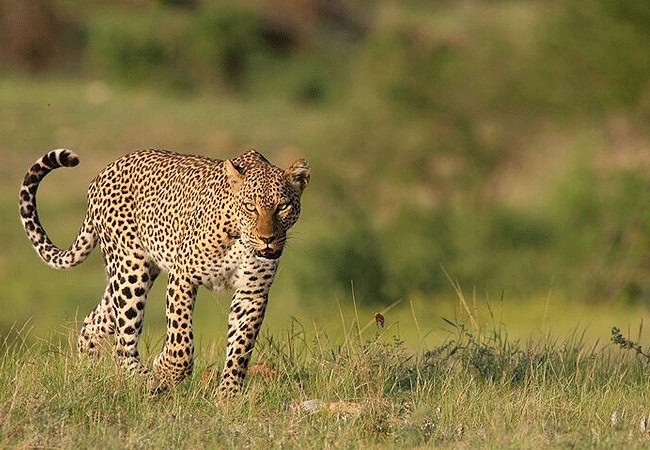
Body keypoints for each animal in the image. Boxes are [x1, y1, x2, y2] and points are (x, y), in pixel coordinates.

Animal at [18, 147, 310, 396]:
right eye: (250, 206)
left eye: (282, 206)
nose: (267, 239)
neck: (239, 237)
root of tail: (103, 173)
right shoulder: (183, 275)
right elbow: (181, 338)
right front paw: (166, 371)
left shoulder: (252, 292)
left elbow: (241, 345)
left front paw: (228, 394)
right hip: (130, 270)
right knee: (122, 345)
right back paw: (146, 381)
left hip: (131, 277)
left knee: (94, 323)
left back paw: (87, 374)